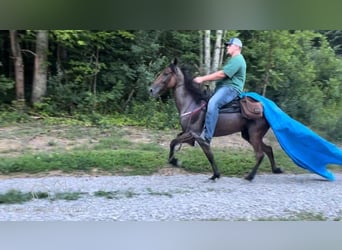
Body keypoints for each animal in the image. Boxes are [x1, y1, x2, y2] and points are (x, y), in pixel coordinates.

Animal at [150, 59, 284, 181]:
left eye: (166, 73)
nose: (151, 90)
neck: (191, 104)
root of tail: (264, 109)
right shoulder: (191, 136)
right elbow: (204, 152)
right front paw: (215, 174)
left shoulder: (194, 134)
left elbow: (176, 143)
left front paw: (175, 161)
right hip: (249, 135)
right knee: (268, 149)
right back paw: (276, 169)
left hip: (254, 135)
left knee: (260, 154)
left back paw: (250, 176)